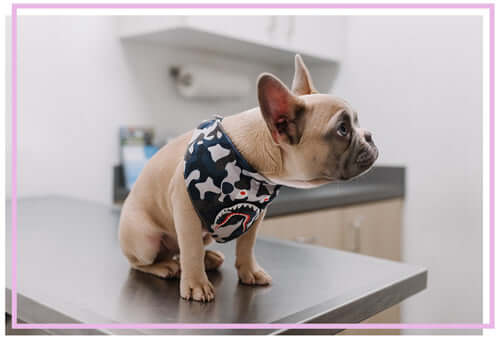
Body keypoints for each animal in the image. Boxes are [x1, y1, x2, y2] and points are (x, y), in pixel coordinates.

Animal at [119, 55, 376, 302]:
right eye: (342, 129)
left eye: (356, 123)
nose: (369, 135)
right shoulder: (185, 210)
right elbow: (191, 249)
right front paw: (195, 284)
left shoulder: (255, 214)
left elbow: (246, 245)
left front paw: (249, 271)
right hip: (144, 239)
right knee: (143, 261)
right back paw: (166, 267)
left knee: (182, 250)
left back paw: (208, 258)